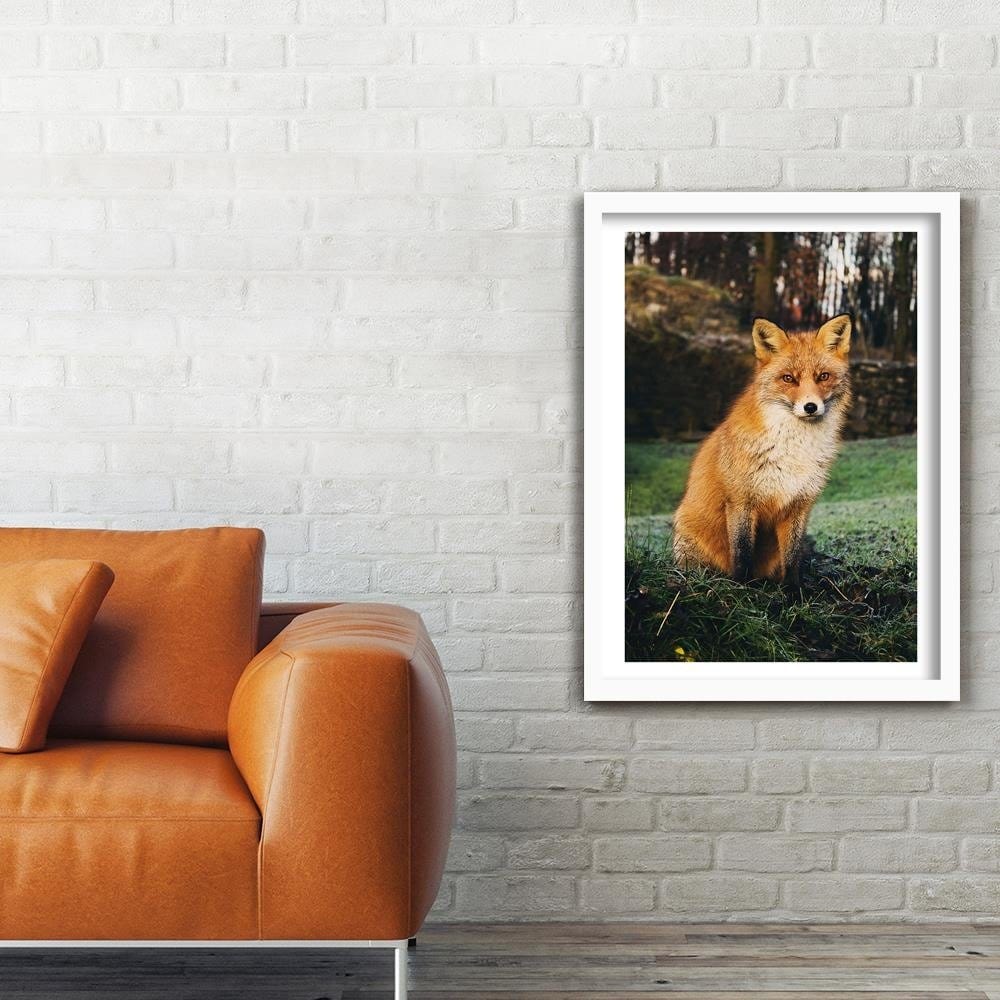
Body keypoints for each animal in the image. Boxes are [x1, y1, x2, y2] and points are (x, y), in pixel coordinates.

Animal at [672, 313, 853, 585]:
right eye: (788, 378)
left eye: (823, 376)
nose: (811, 407)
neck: (793, 450)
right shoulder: (741, 501)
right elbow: (742, 552)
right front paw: (742, 586)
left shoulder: (799, 505)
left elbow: (792, 558)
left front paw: (794, 590)